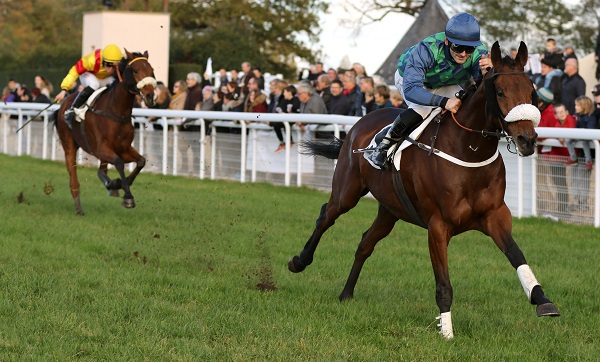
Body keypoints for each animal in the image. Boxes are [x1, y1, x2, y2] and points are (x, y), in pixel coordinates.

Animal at [55, 50, 157, 215]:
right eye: (135, 70)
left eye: (151, 70)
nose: (150, 96)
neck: (116, 111)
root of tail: (64, 104)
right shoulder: (101, 148)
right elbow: (119, 163)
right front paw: (127, 196)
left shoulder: (123, 148)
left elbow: (141, 161)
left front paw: (118, 184)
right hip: (69, 145)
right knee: (73, 177)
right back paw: (79, 207)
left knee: (102, 170)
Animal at [288, 42, 560, 340]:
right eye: (499, 92)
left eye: (532, 92)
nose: (528, 140)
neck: (468, 149)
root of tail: (361, 121)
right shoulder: (438, 225)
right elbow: (444, 284)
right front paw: (447, 332)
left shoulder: (495, 216)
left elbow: (517, 255)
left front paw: (542, 300)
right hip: (347, 191)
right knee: (326, 216)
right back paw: (299, 261)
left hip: (390, 210)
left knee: (365, 243)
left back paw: (346, 294)